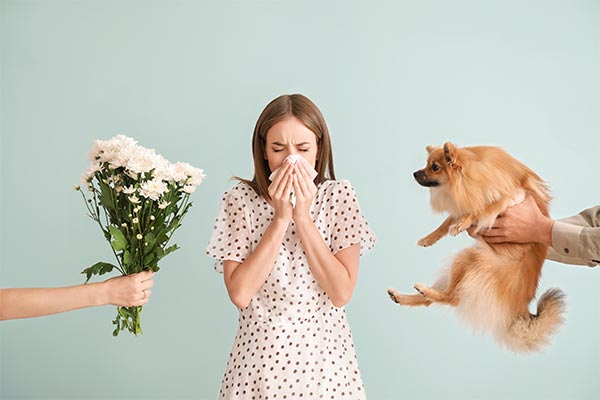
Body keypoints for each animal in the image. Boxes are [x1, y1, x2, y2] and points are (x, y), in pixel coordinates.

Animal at [390, 142, 568, 352]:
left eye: (434, 167)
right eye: (426, 165)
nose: (415, 173)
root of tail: (521, 308)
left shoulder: (513, 195)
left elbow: (483, 208)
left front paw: (462, 223)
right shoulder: (463, 204)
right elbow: (446, 223)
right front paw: (429, 238)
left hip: (470, 259)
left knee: (452, 298)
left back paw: (424, 290)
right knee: (435, 300)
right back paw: (401, 296)